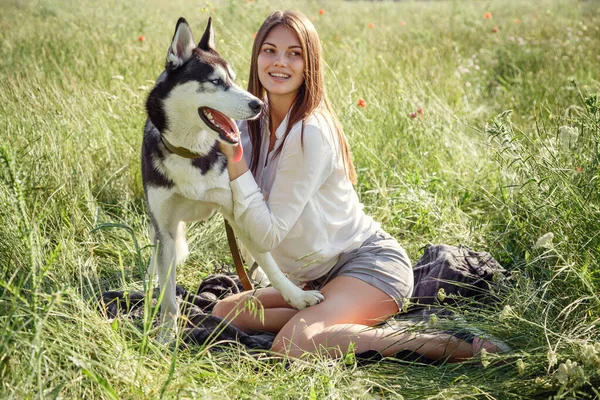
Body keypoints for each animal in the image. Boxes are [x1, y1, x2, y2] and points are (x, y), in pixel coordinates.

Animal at [142, 17, 324, 340]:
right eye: (216, 82)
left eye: (234, 78)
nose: (258, 105)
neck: (192, 152)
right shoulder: (165, 226)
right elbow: (169, 294)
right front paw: (165, 335)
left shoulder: (237, 212)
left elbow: (269, 260)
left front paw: (296, 296)